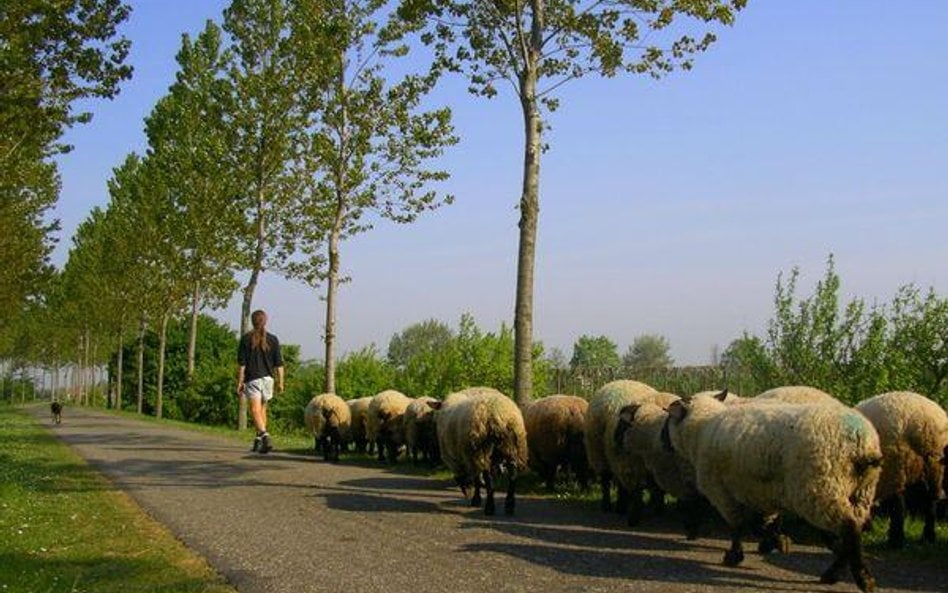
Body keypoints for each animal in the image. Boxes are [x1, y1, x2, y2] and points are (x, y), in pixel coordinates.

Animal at [434, 386, 528, 516]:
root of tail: (500, 414)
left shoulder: (464, 456)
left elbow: (475, 478)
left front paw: (474, 497)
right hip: (512, 448)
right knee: (512, 475)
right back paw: (509, 506)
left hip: (483, 450)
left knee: (489, 480)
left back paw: (489, 507)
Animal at [580, 376, 676, 520]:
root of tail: (619, 381)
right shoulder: (632, 465)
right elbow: (637, 490)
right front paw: (635, 514)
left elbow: (657, 489)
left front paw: (657, 509)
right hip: (601, 454)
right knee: (606, 480)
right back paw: (610, 505)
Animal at [668, 390, 880, 588]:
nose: (665, 443)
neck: (703, 428)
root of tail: (862, 444)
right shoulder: (759, 492)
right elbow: (759, 524)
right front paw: (777, 541)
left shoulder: (721, 492)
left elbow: (738, 525)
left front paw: (735, 555)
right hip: (861, 493)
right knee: (856, 528)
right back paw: (834, 572)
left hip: (820, 489)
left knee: (849, 528)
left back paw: (862, 578)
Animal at [852, 390, 948, 548]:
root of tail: (922, 425)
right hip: (934, 466)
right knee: (931, 502)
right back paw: (928, 537)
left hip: (895, 465)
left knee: (899, 504)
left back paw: (895, 540)